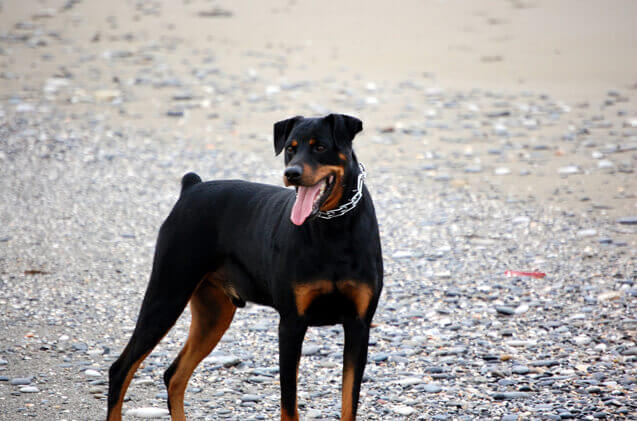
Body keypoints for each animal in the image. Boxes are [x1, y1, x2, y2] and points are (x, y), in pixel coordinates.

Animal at [107, 115, 382, 420]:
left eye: (320, 147)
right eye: (290, 148)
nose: (292, 173)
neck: (333, 228)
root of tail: (192, 187)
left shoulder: (358, 325)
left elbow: (349, 403)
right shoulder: (291, 324)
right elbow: (289, 406)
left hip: (213, 314)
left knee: (174, 375)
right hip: (167, 294)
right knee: (120, 370)